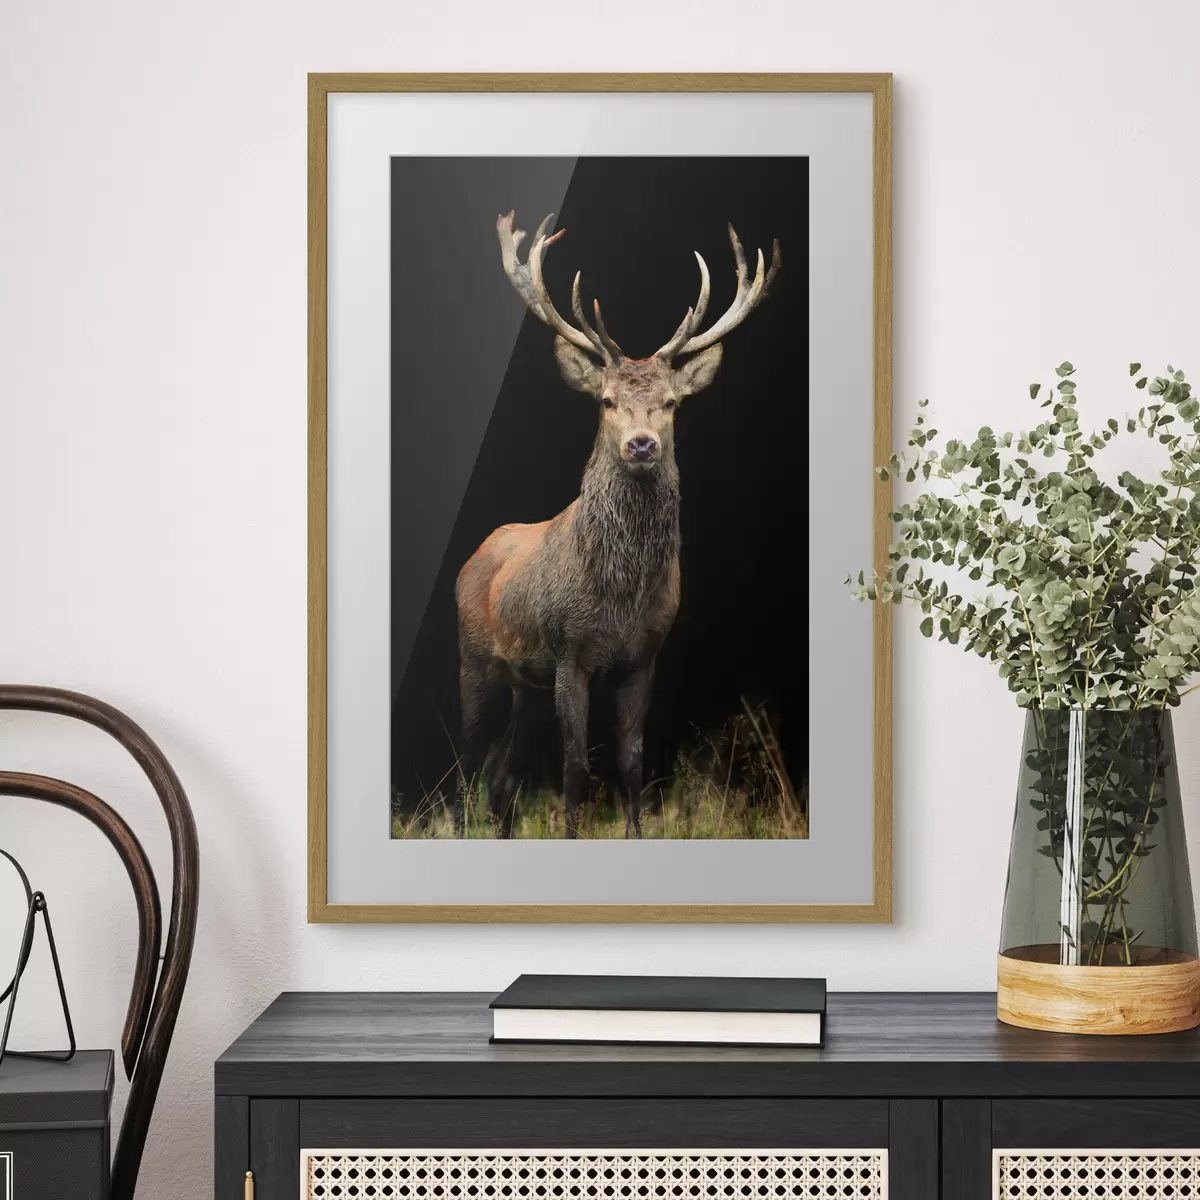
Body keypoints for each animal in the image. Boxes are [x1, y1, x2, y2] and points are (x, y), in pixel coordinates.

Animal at [454, 211, 780, 838]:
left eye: (672, 403)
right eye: (605, 400)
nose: (641, 443)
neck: (620, 596)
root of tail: (472, 557)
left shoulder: (644, 656)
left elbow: (632, 764)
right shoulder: (569, 650)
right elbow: (576, 767)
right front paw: (571, 834)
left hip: (526, 687)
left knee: (501, 778)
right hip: (476, 659)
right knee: (466, 764)